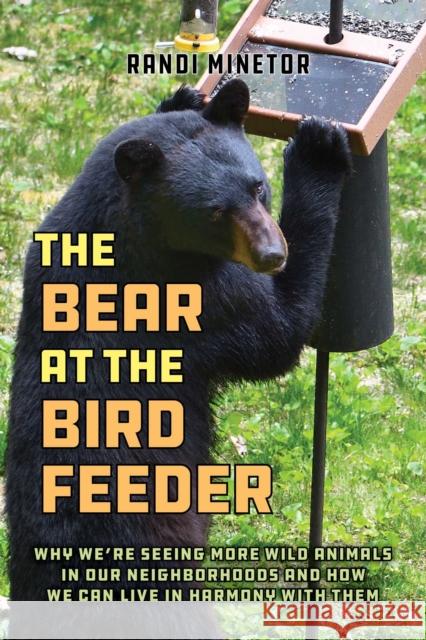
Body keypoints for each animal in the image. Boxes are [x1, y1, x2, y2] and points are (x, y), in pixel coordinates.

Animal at [6, 79, 351, 601]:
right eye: (215, 212)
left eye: (257, 187)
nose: (273, 254)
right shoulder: (205, 298)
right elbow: (278, 331)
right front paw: (319, 148)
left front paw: (185, 97)